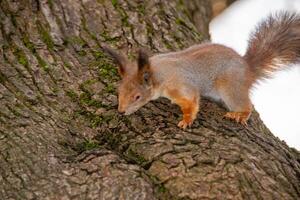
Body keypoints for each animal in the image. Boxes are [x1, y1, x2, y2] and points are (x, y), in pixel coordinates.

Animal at [102, 12, 300, 128]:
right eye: (118, 91)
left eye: (137, 96)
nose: (121, 111)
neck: (159, 73)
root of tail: (247, 67)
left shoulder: (180, 85)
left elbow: (191, 102)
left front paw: (186, 120)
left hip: (230, 86)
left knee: (245, 104)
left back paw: (240, 114)